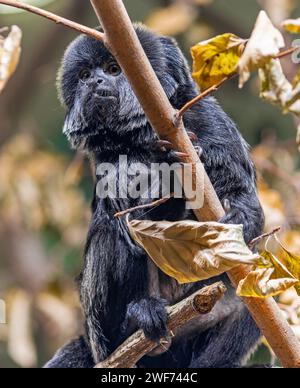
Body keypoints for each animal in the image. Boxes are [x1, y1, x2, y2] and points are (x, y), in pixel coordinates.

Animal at [45, 25, 264, 368]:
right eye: (84, 75)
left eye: (113, 69)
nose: (95, 82)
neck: (145, 135)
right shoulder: (109, 159)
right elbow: (131, 220)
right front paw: (171, 177)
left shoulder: (210, 120)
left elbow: (243, 195)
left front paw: (240, 217)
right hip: (98, 335)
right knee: (111, 234)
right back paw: (134, 322)